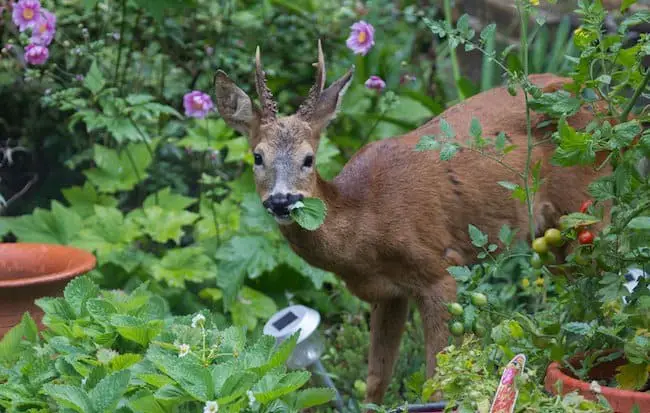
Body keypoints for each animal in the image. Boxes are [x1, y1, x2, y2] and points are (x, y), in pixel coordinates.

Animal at [214, 41, 608, 402]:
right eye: (258, 157)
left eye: (308, 159)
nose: (282, 200)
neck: (366, 224)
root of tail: (605, 104)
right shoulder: (387, 293)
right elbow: (376, 380)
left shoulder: (439, 272)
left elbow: (437, 384)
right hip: (549, 235)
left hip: (588, 204)